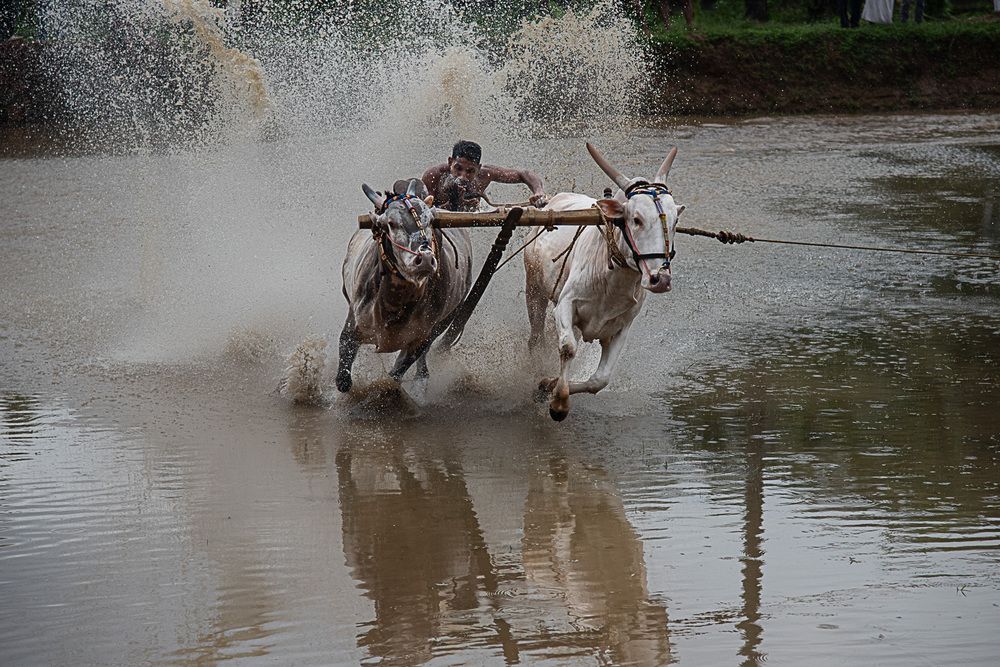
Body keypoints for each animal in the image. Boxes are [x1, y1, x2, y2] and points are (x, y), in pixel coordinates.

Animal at [336, 178, 472, 393]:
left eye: (429, 221)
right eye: (391, 223)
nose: (425, 260)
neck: (394, 303)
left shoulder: (421, 338)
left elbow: (396, 374)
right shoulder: (353, 325)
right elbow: (343, 381)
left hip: (447, 318)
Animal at [524, 143, 684, 421]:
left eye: (675, 221)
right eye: (636, 219)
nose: (660, 279)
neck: (612, 279)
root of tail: (550, 203)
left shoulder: (622, 327)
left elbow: (599, 380)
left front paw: (548, 386)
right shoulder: (565, 304)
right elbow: (568, 348)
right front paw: (558, 404)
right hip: (534, 290)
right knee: (536, 336)